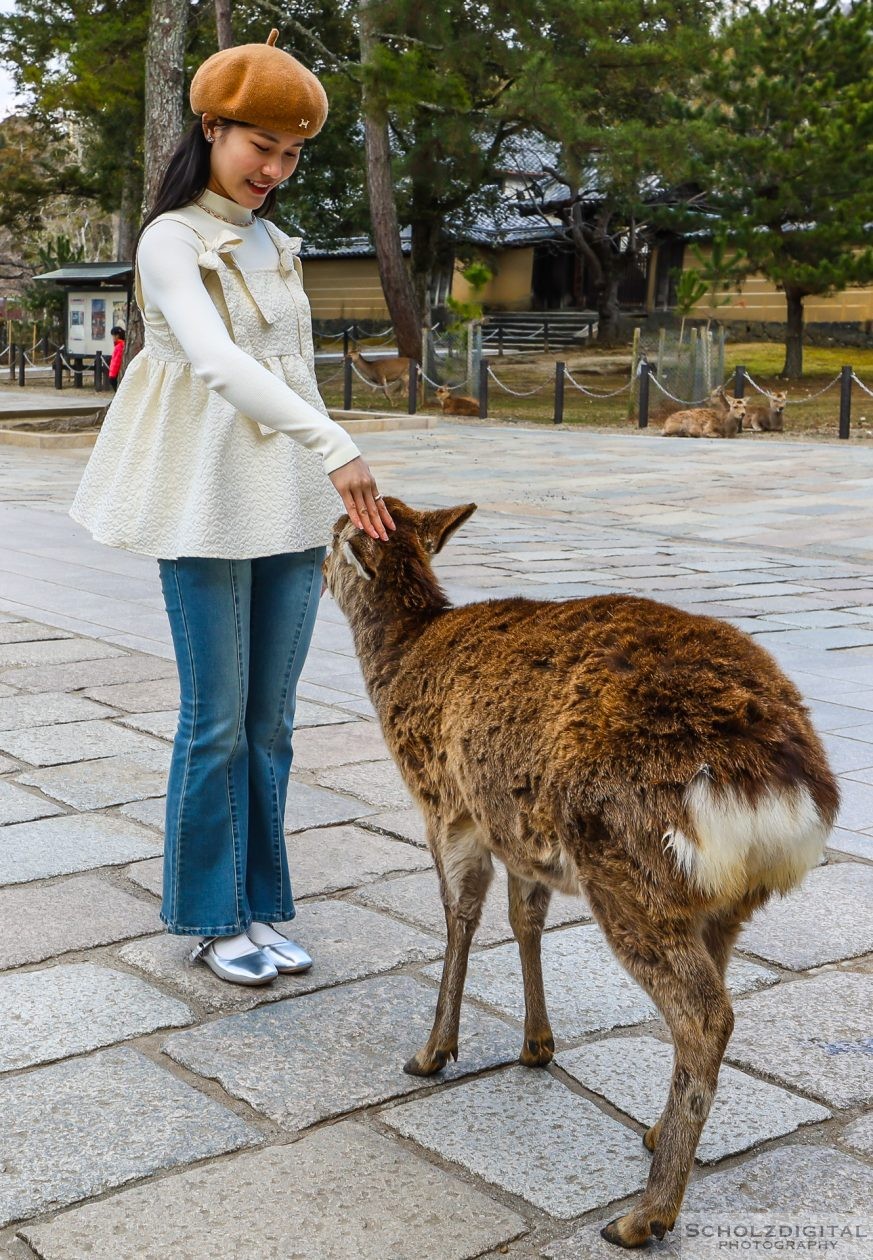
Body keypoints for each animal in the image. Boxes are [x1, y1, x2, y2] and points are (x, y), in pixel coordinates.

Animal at [322, 498, 836, 1249]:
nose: (312, 562)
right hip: (720, 900)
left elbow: (460, 914)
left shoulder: (446, 803)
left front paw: (431, 1052)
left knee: (705, 1013)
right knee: (710, 994)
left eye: (332, 535)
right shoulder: (516, 827)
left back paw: (643, 1216)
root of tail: (786, 787)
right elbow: (523, 917)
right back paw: (657, 1137)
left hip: (626, 870)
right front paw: (536, 1045)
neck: (401, 655)